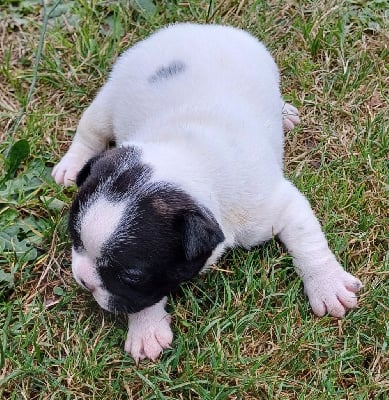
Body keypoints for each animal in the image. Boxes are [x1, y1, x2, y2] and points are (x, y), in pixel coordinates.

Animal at [52, 22, 360, 362]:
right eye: (74, 238)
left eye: (131, 275)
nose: (83, 280)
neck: (189, 161)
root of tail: (196, 27)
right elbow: (146, 298)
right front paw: (146, 329)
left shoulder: (280, 205)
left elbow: (309, 244)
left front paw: (328, 285)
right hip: (109, 97)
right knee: (90, 132)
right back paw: (71, 165)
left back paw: (285, 114)